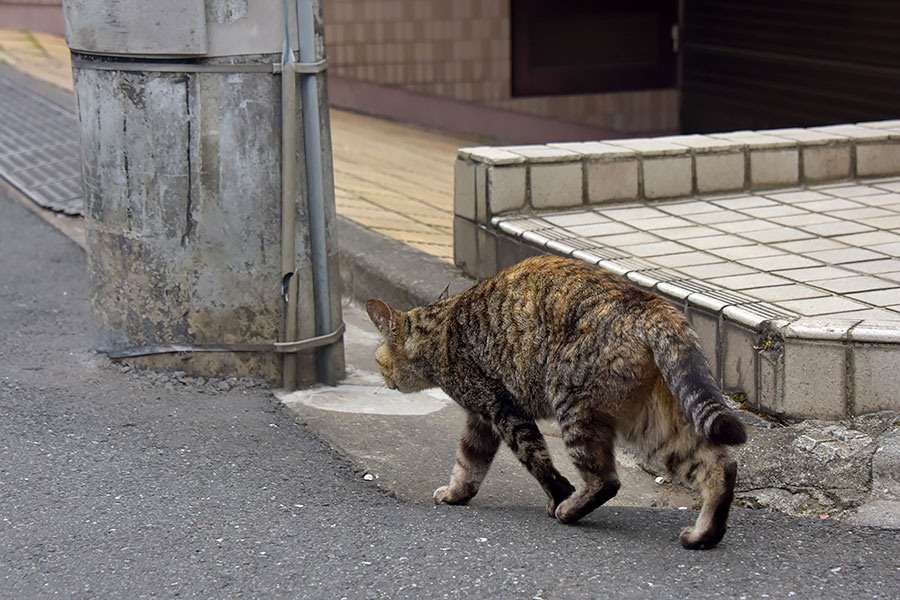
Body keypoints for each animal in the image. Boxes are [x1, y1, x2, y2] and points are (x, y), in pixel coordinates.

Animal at [366, 253, 744, 548]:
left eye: (377, 360)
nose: (383, 380)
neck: (441, 328)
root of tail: (648, 302)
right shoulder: (481, 419)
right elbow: (468, 462)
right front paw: (456, 494)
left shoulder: (503, 409)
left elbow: (536, 460)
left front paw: (559, 494)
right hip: (652, 426)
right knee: (719, 466)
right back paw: (704, 536)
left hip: (574, 408)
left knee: (606, 480)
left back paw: (570, 509)